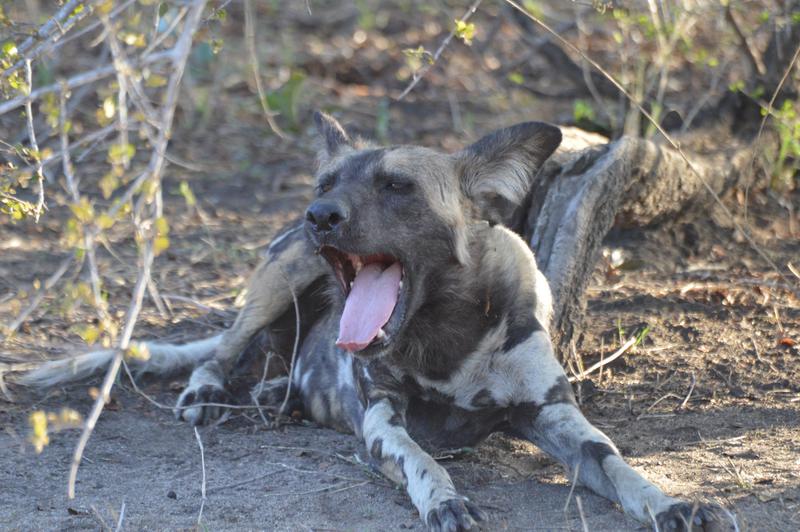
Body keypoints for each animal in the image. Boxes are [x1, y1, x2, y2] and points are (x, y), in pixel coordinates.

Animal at [21, 113, 728, 532]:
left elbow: (618, 464)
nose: (320, 215)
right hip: (282, 277)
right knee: (220, 351)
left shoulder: (553, 415)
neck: (446, 335)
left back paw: (277, 393)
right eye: (328, 183)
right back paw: (211, 393)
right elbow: (425, 462)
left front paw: (672, 503)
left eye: (396, 187)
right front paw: (446, 501)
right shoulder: (383, 419)